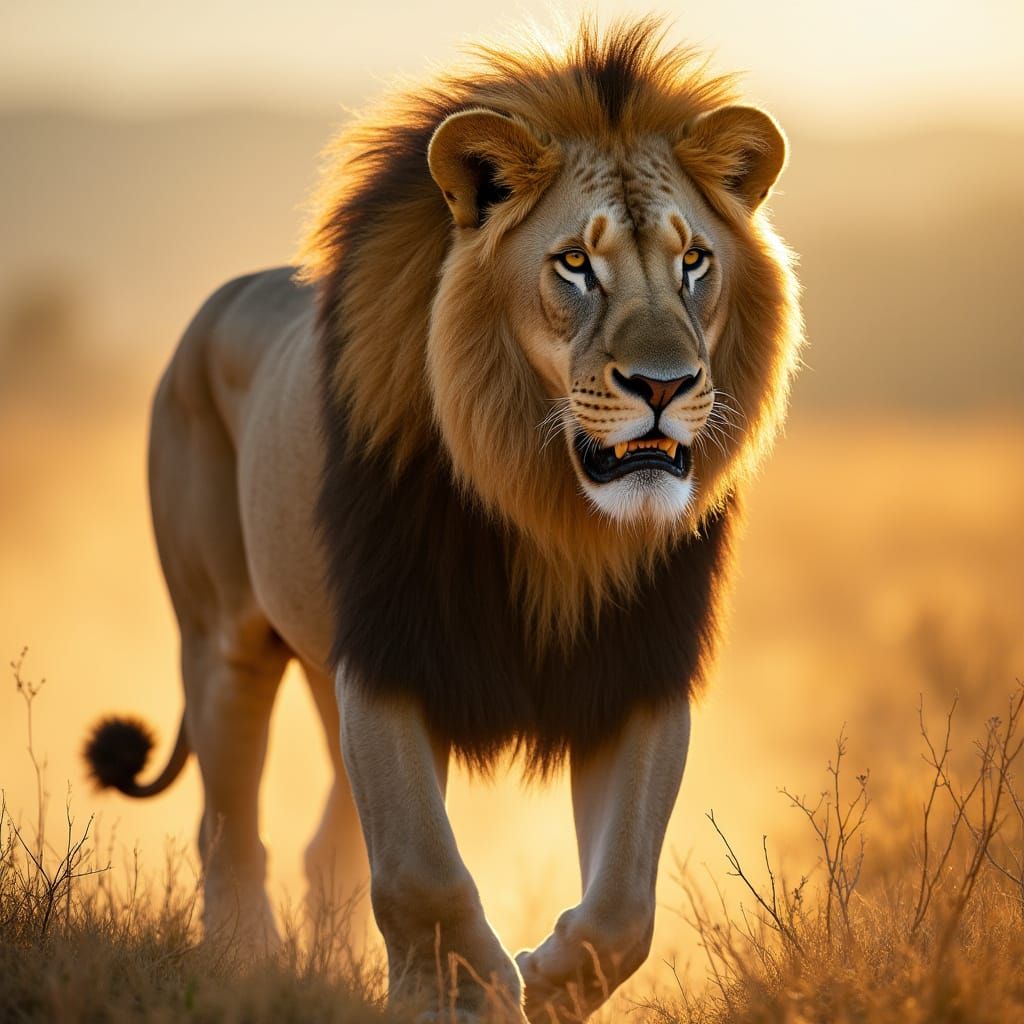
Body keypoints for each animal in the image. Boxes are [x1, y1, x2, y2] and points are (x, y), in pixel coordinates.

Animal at [84, 19, 802, 1023]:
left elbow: (625, 904)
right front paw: (468, 994)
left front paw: (548, 981)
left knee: (325, 844)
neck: (552, 511)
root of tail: (221, 301)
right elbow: (422, 868)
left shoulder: (640, 668)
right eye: (575, 265)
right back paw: (248, 969)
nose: (664, 386)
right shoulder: (390, 654)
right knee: (230, 833)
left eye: (694, 260)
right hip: (224, 639)